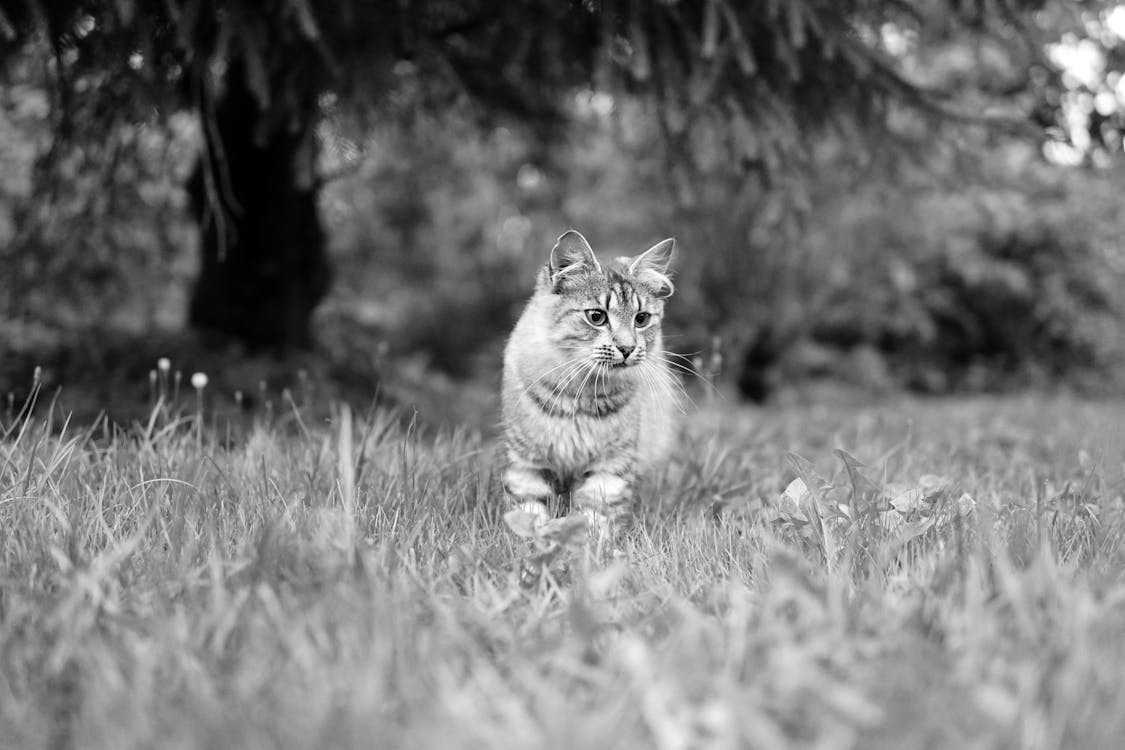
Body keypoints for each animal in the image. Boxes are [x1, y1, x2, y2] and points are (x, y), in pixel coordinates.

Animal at [501, 231, 675, 530]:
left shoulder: (611, 467)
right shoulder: (527, 462)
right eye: (596, 317)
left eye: (641, 319)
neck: (580, 394)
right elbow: (528, 513)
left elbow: (592, 518)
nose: (627, 348)